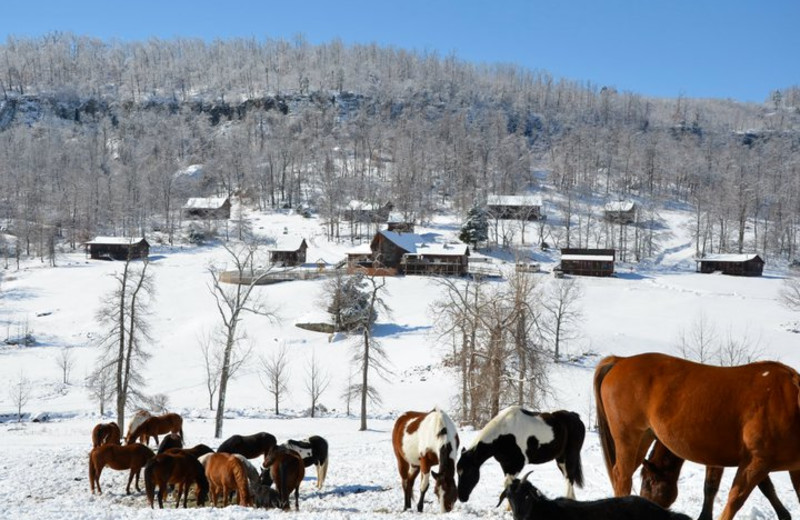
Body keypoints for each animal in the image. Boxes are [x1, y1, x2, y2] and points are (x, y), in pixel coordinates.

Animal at [456, 406, 588, 504]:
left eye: (468, 472)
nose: (462, 497)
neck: (503, 435)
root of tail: (575, 416)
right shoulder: (505, 465)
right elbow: (508, 484)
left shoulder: (517, 465)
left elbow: (510, 484)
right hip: (560, 459)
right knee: (567, 478)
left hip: (570, 457)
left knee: (569, 478)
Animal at [640, 438, 792, 520]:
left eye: (650, 481)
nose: (643, 502)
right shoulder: (754, 460)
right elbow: (766, 486)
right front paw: (784, 515)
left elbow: (710, 487)